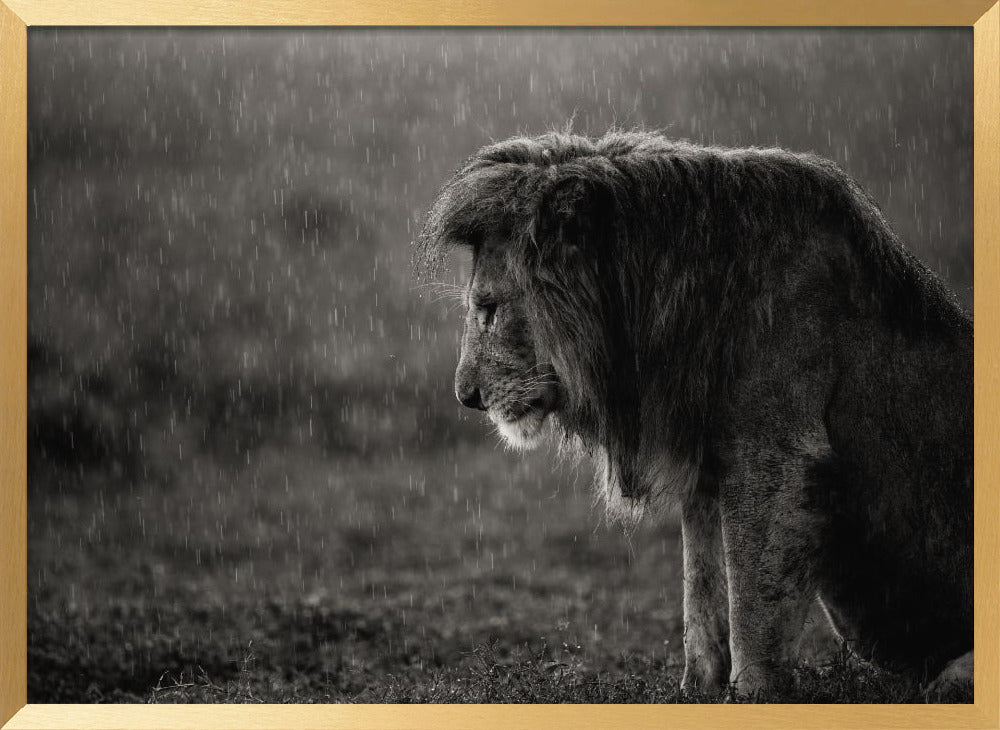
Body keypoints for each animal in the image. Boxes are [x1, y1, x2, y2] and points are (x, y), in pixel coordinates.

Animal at [416, 131, 973, 700]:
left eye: (489, 309)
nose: (466, 396)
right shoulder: (706, 461)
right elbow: (702, 588)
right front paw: (694, 692)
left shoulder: (776, 456)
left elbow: (752, 603)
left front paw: (752, 695)